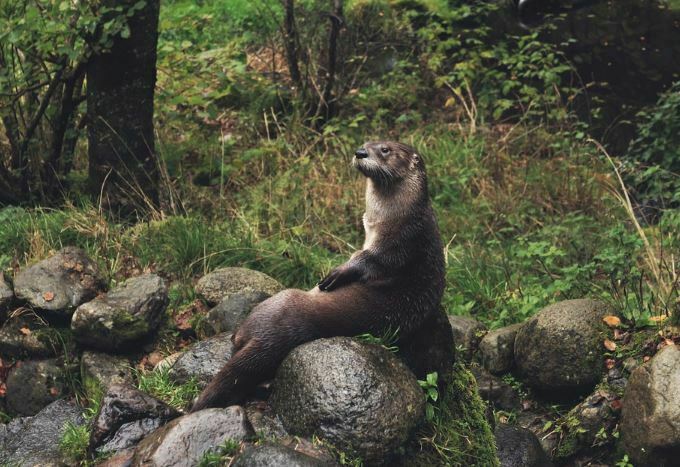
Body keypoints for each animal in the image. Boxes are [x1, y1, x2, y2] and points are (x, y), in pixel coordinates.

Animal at [189, 141, 448, 412]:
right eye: (366, 144)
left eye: (385, 149)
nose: (360, 153)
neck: (398, 215)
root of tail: (269, 339)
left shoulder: (400, 242)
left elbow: (368, 260)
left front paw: (337, 273)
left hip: (278, 302)